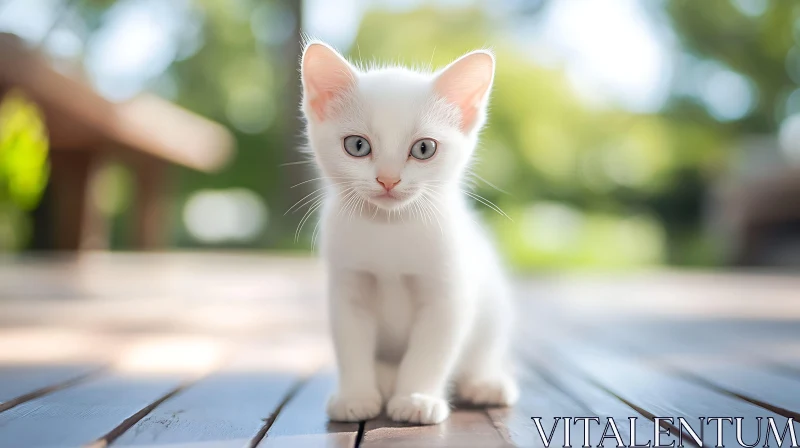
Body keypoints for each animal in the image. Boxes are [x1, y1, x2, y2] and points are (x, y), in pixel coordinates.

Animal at [300, 41, 520, 424]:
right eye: (357, 146)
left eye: (423, 148)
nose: (388, 180)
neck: (390, 229)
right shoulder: (348, 288)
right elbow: (351, 343)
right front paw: (356, 396)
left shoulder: (447, 295)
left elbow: (430, 351)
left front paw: (417, 398)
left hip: (494, 310)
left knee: (482, 353)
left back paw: (484, 384)